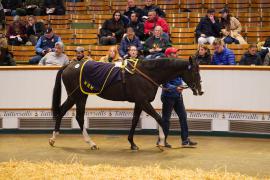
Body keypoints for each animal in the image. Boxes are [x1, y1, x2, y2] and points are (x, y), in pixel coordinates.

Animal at [49, 57, 202, 149]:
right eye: (195, 72)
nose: (200, 91)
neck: (147, 73)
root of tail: (69, 65)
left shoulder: (139, 103)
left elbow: (135, 121)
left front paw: (132, 143)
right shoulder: (143, 101)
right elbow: (159, 118)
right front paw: (161, 142)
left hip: (78, 96)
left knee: (66, 113)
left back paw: (57, 139)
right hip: (77, 96)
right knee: (75, 115)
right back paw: (86, 142)